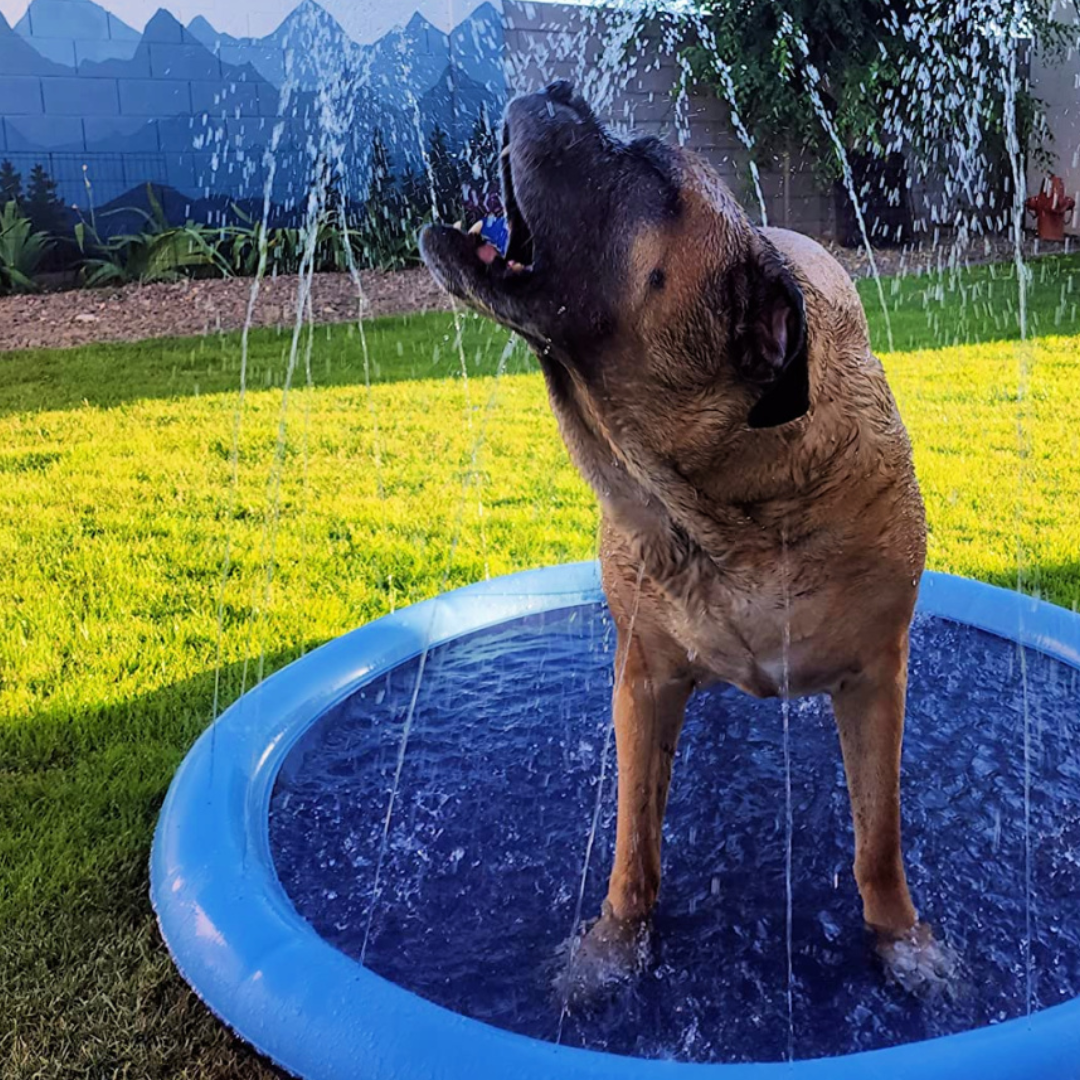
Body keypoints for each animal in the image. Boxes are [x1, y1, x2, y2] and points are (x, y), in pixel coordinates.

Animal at [416, 79, 950, 997]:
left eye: (646, 169)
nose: (557, 88)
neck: (723, 510)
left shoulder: (876, 677)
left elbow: (878, 841)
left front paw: (900, 941)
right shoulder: (643, 675)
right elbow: (634, 840)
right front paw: (614, 945)